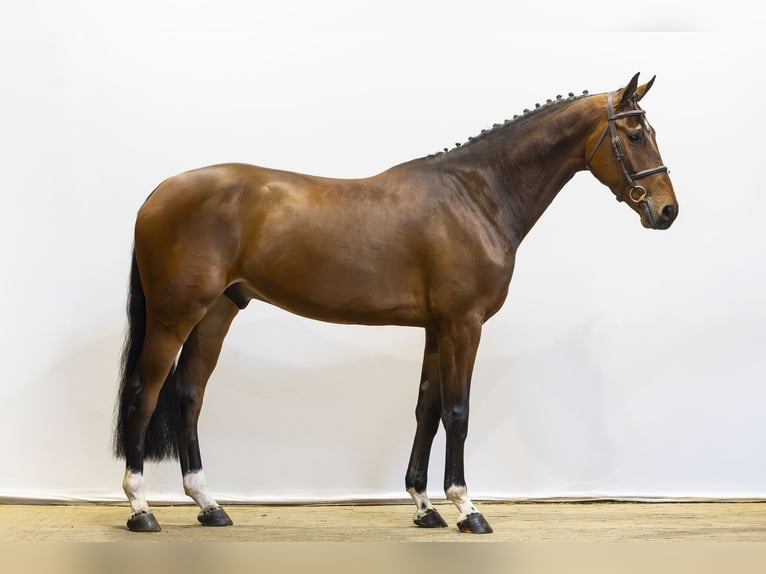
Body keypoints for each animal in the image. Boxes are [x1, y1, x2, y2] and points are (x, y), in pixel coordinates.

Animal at [113, 73, 677, 534]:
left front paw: (424, 507)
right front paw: (467, 508)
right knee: (145, 392)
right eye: (634, 134)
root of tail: (158, 193)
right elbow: (457, 411)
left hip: (217, 313)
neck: (476, 197)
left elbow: (426, 409)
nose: (667, 210)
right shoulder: (464, 324)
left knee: (189, 395)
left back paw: (209, 505)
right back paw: (141, 510)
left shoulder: (436, 329)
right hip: (173, 317)